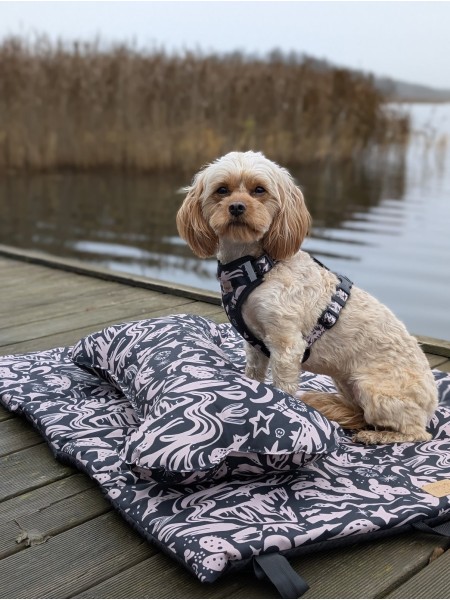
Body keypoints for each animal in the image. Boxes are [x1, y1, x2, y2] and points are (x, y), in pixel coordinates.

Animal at [176, 150, 438, 444]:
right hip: (347, 384)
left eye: (259, 190)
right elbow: (253, 377)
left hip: (375, 390)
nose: (237, 207)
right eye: (222, 190)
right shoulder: (254, 345)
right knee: (364, 416)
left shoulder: (287, 346)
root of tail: (432, 403)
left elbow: (282, 388)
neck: (256, 265)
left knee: (416, 432)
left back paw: (378, 436)